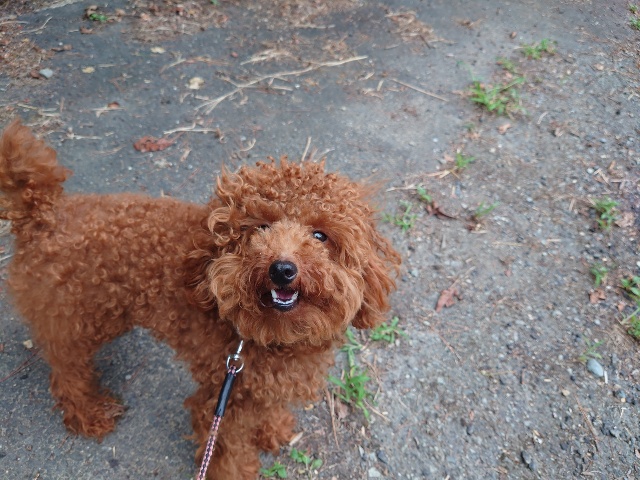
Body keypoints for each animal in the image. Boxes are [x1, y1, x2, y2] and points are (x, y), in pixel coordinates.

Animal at [0, 120, 400, 479]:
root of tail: (45, 211)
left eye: (320, 235)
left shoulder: (256, 387)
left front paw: (271, 430)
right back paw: (90, 414)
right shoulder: (222, 399)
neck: (270, 337)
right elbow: (226, 449)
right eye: (260, 227)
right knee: (67, 370)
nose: (282, 269)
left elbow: (267, 412)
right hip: (78, 316)